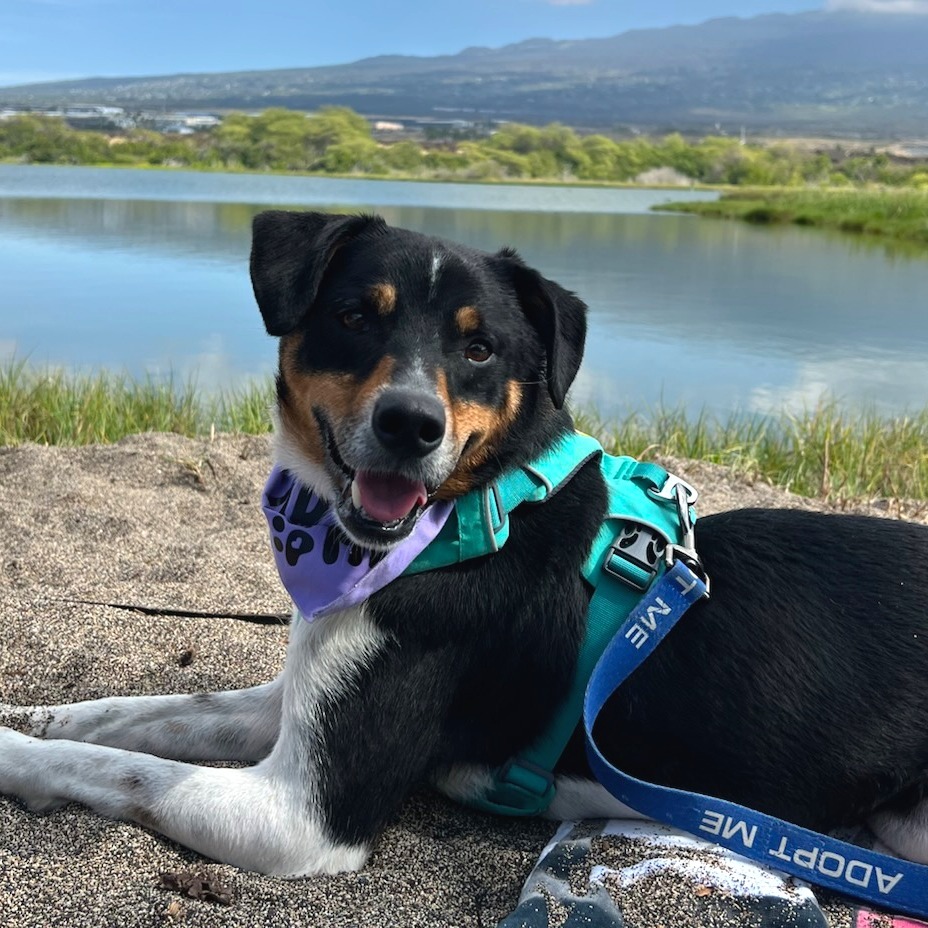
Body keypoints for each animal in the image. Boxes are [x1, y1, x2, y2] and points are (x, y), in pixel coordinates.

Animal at [1, 212, 928, 884]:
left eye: (480, 349)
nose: (410, 425)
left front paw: (16, 754)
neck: (475, 516)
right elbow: (148, 713)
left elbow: (120, 771)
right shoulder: (293, 700)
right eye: (354, 316)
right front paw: (39, 716)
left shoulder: (303, 817)